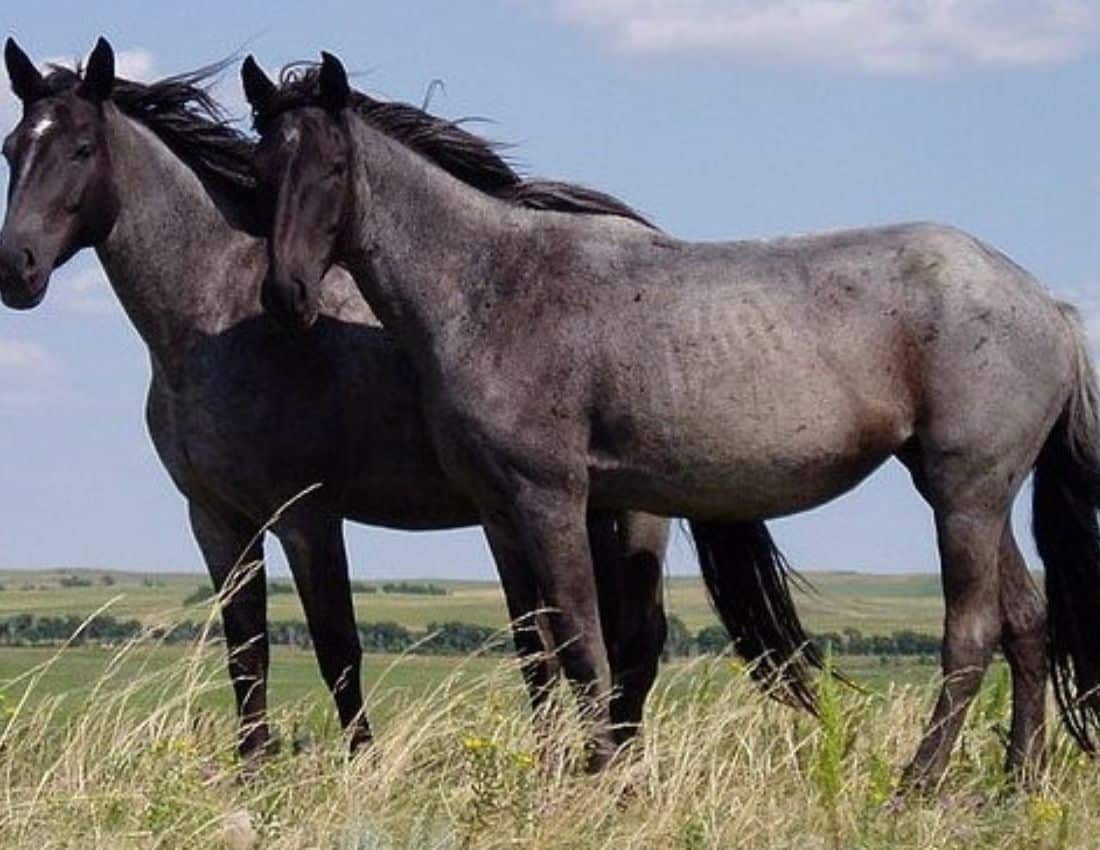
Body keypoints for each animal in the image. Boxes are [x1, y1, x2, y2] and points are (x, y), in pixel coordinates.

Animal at [0, 37, 672, 764]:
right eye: (12, 149)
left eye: (81, 150)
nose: (15, 268)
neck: (214, 317)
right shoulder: (217, 520)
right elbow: (247, 655)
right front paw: (253, 769)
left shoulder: (307, 516)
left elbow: (338, 649)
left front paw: (361, 766)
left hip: (634, 513)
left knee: (634, 645)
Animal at [243, 49, 1100, 789]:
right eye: (260, 171)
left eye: (332, 169)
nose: (286, 297)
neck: (491, 288)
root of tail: (1047, 305)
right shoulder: (497, 512)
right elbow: (536, 652)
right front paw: (556, 773)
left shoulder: (553, 500)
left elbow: (584, 645)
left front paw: (599, 778)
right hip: (969, 493)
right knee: (1026, 624)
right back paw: (1016, 782)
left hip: (965, 496)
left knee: (971, 634)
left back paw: (917, 785)